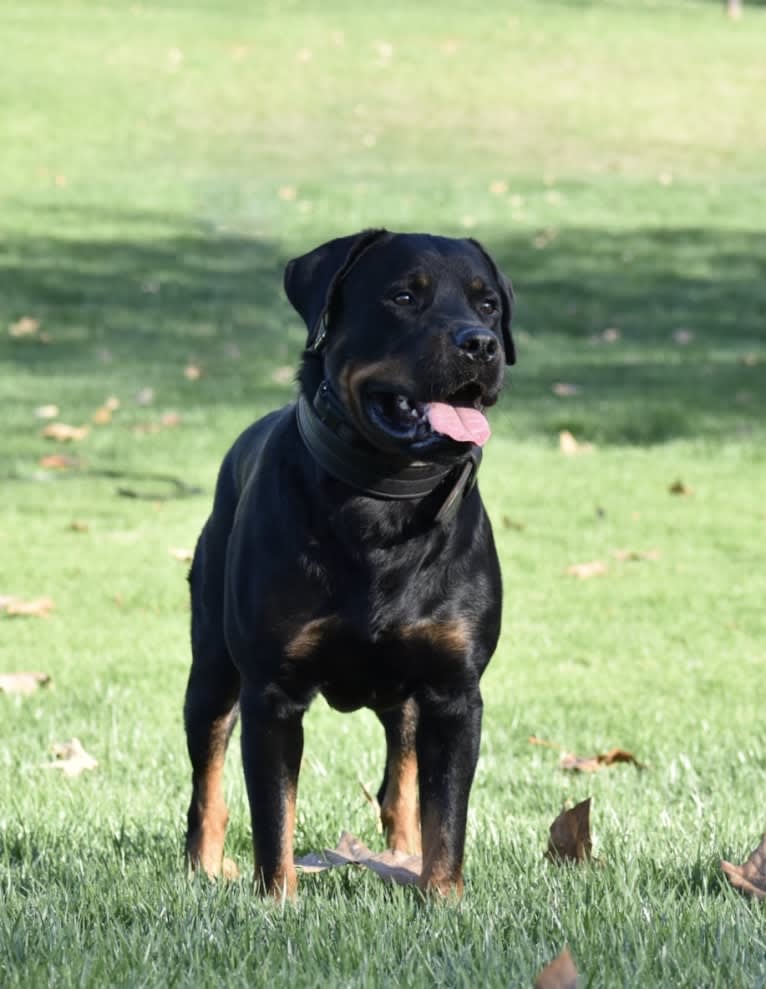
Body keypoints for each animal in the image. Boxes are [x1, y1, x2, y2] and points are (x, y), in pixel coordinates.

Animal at [183, 230, 516, 896]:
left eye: (488, 304)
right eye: (403, 296)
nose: (480, 344)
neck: (382, 500)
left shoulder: (454, 691)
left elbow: (447, 818)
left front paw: (443, 899)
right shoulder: (271, 691)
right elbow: (274, 817)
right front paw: (277, 900)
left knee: (403, 787)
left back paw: (402, 859)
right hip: (211, 667)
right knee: (207, 780)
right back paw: (203, 867)